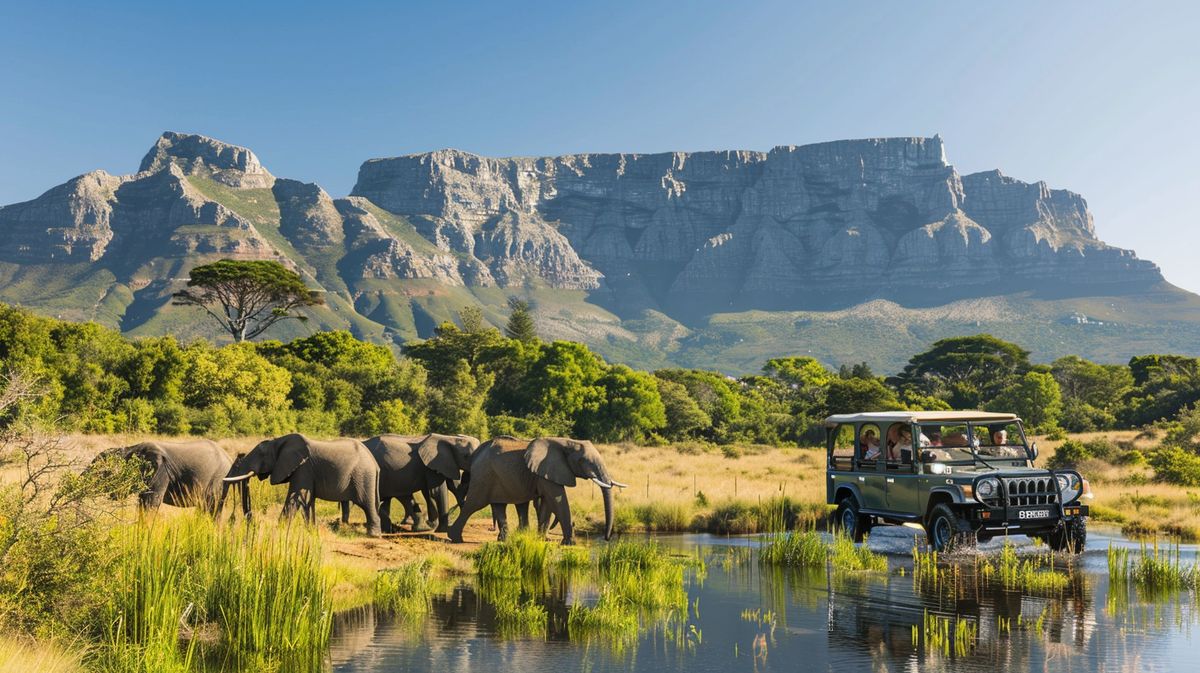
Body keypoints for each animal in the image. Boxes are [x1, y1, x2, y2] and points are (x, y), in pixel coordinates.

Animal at [88, 436, 243, 513]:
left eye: (103, 473)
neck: (132, 448)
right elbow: (143, 503)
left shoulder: (161, 471)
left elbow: (151, 503)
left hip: (219, 480)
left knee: (212, 508)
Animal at [220, 436, 379, 535]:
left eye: (261, 454)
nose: (250, 519)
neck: (278, 441)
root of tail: (375, 464)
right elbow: (307, 500)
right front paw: (311, 530)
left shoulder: (303, 468)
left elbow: (295, 499)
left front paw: (279, 529)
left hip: (363, 476)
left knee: (367, 504)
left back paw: (373, 535)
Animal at [446, 436, 624, 547]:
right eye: (582, 461)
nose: (607, 538)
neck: (566, 442)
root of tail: (477, 454)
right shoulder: (548, 471)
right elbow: (557, 499)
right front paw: (569, 544)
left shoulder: (544, 473)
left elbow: (547, 503)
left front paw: (541, 540)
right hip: (484, 476)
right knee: (473, 505)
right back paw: (455, 538)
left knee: (499, 505)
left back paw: (503, 540)